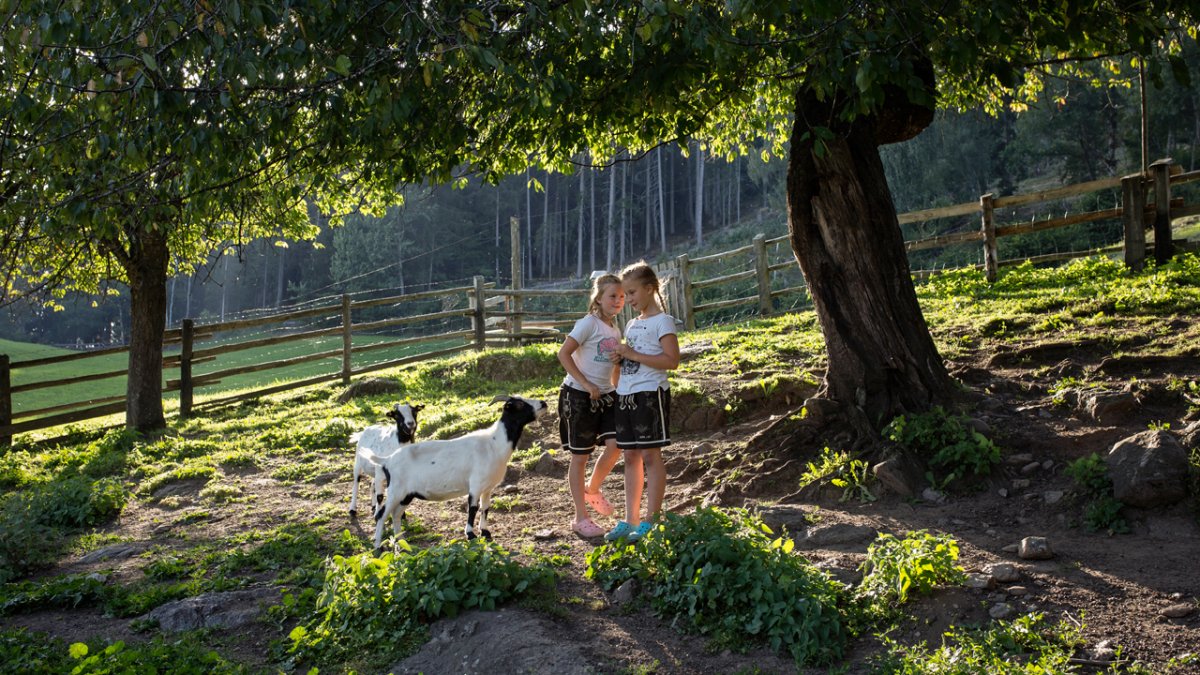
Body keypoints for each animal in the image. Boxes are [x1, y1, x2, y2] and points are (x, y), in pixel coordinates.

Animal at [360, 393, 549, 547]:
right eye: (519, 404)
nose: (544, 403)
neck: (494, 443)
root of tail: (387, 460)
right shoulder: (476, 485)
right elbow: (473, 508)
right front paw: (470, 535)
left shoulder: (488, 487)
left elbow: (485, 508)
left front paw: (486, 532)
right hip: (396, 491)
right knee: (381, 514)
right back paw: (378, 546)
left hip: (407, 494)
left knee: (396, 514)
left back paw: (401, 541)